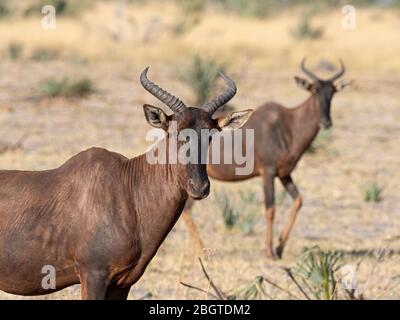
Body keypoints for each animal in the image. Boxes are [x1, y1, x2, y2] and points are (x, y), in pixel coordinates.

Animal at [0, 68, 250, 300]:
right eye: (174, 132)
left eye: (210, 135)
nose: (199, 187)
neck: (128, 186)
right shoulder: (93, 275)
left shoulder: (122, 283)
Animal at [182, 58, 350, 260]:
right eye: (313, 90)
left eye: (332, 92)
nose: (326, 122)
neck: (286, 124)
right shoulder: (267, 172)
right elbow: (270, 209)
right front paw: (269, 251)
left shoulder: (284, 174)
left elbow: (298, 201)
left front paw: (279, 247)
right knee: (186, 210)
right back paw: (201, 251)